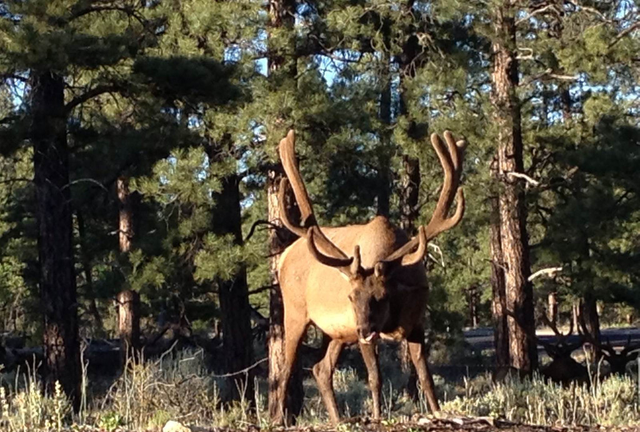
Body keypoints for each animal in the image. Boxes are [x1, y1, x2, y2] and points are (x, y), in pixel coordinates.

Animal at [272, 130, 468, 424]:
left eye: (381, 296)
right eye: (351, 297)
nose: (364, 330)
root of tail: (283, 256)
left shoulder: (416, 322)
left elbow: (426, 377)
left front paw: (437, 413)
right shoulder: (362, 330)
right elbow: (375, 378)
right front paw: (377, 417)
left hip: (337, 334)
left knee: (320, 369)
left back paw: (337, 420)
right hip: (296, 312)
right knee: (285, 368)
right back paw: (276, 420)